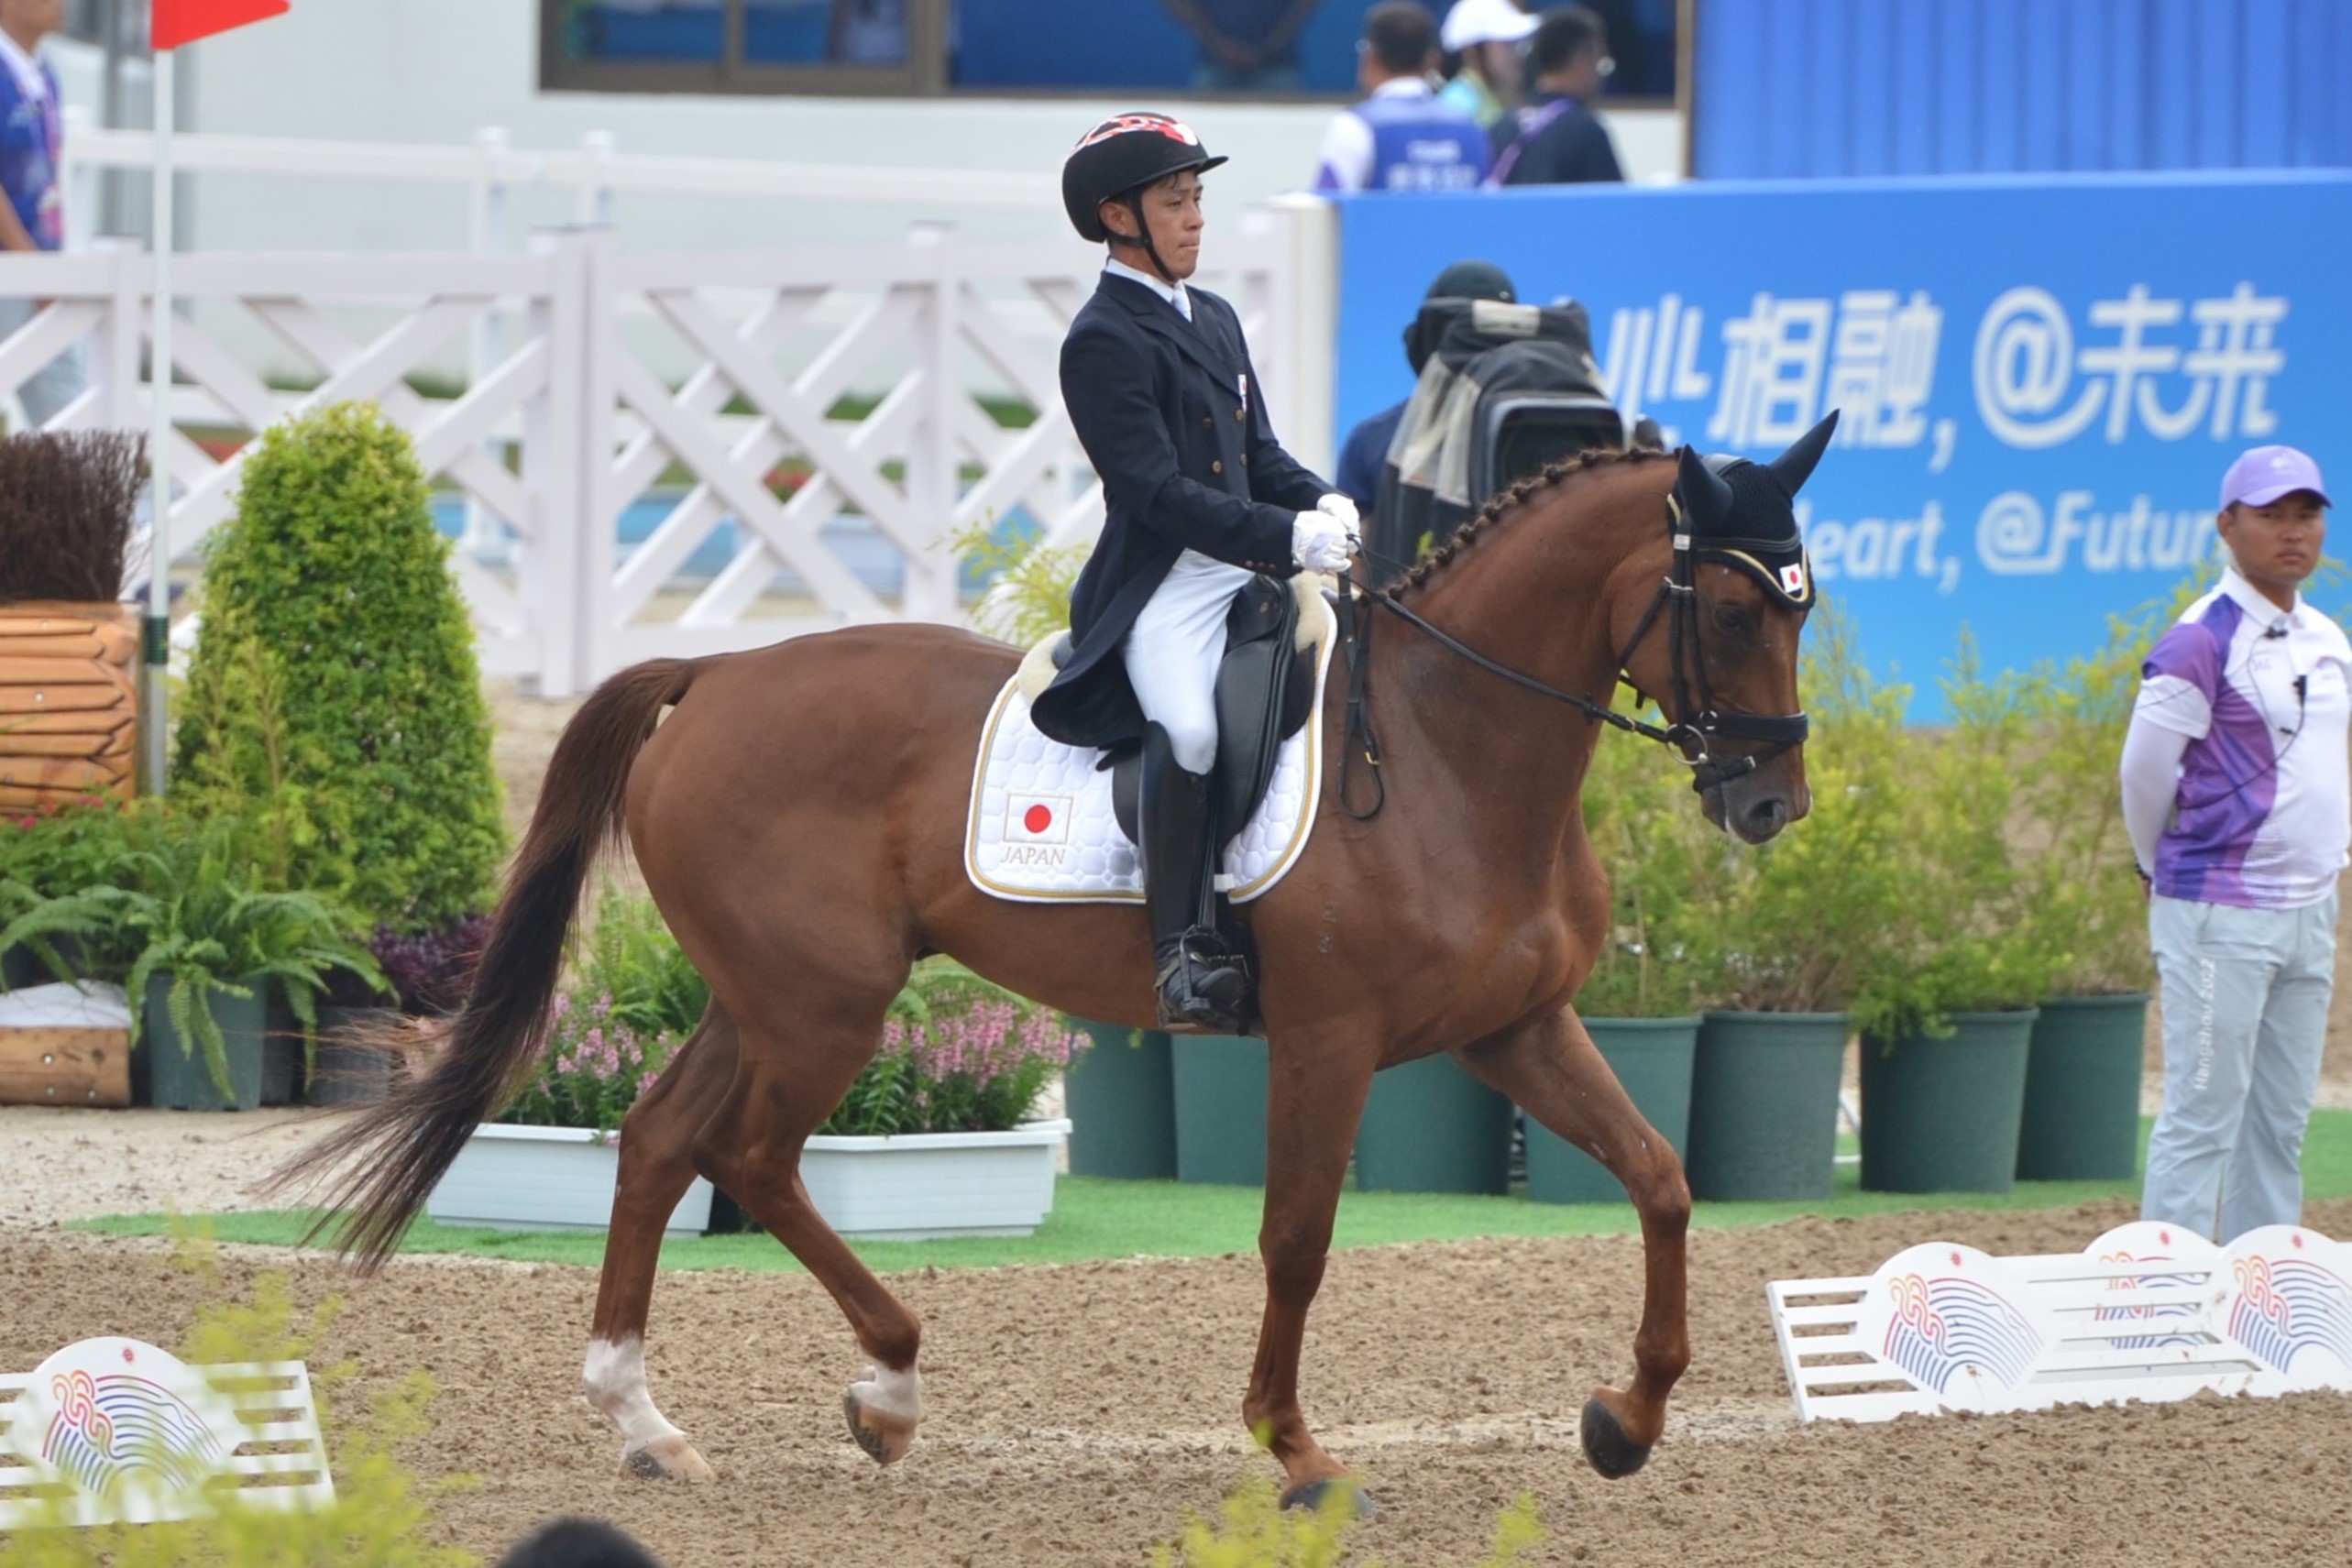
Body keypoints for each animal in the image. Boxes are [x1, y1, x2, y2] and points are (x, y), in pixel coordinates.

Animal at [289, 439, 1815, 1504]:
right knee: (752, 1153)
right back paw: (883, 1388)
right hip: (822, 1005)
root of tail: (712, 675)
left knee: (665, 1137)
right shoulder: (1328, 1042)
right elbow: (1296, 1239)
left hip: (767, 995)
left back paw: (651, 1422)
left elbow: (1660, 1178)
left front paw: (1626, 1419)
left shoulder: (1518, 1028)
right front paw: (1295, 1448)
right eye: (1733, 613)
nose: (1770, 804)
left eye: (1805, 607)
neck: (1449, 746)